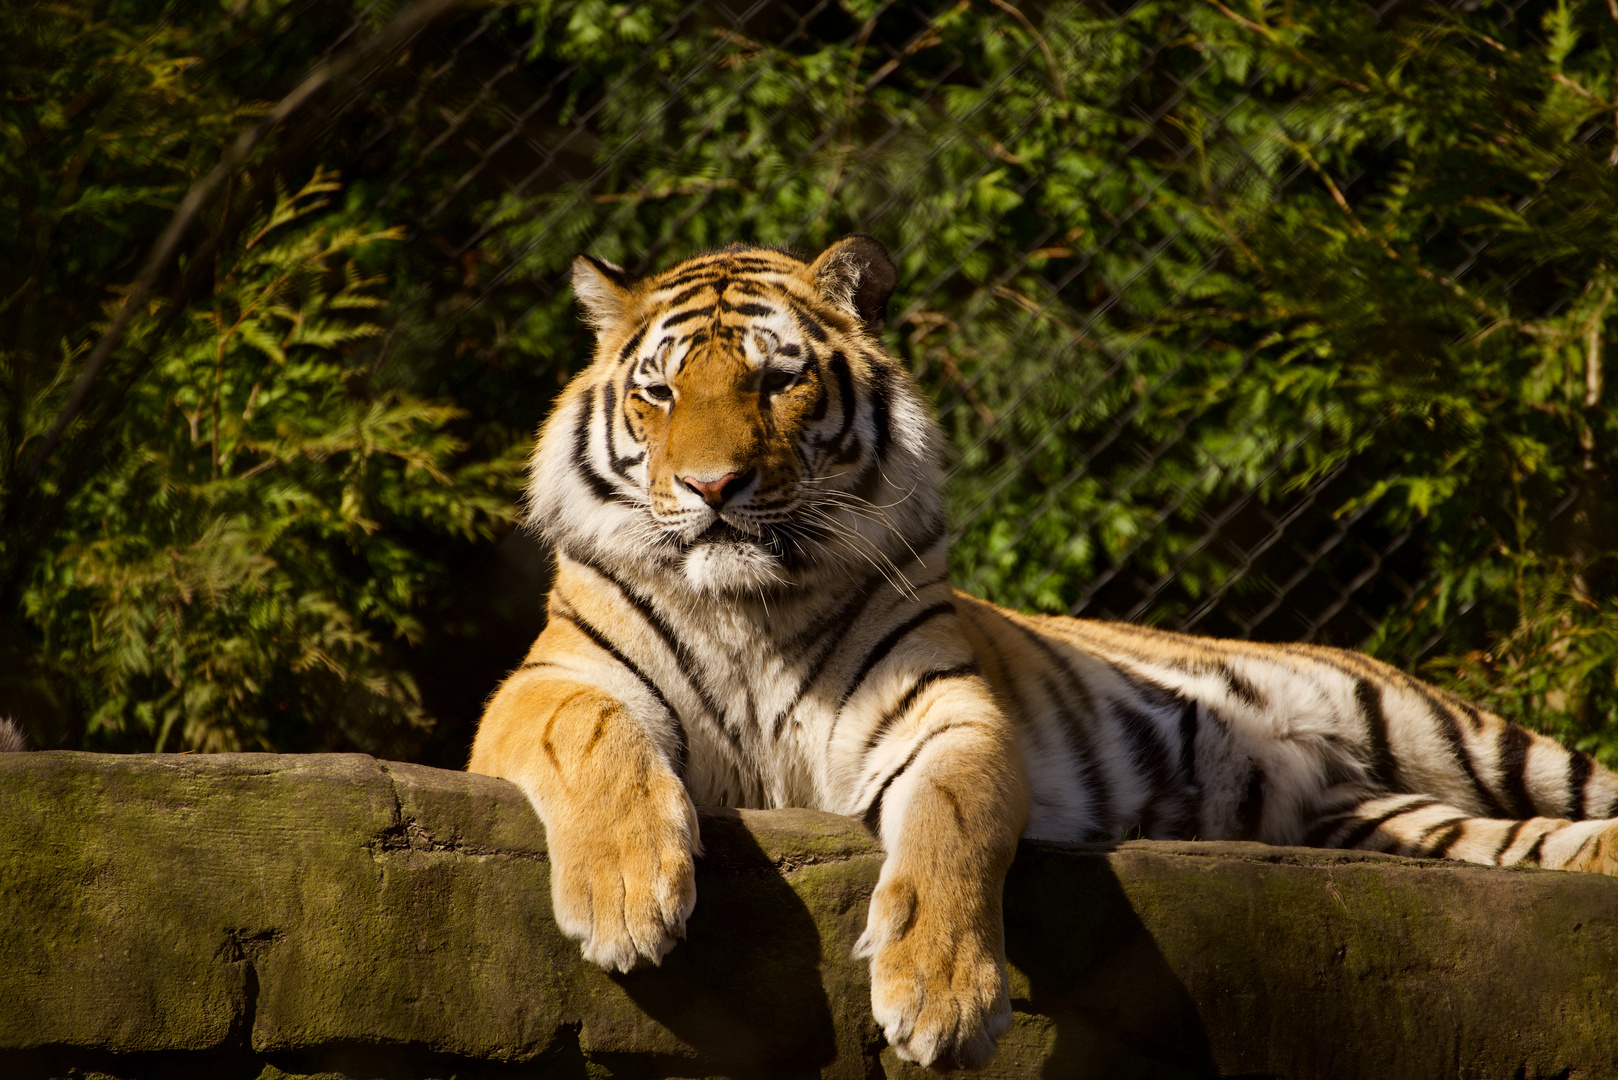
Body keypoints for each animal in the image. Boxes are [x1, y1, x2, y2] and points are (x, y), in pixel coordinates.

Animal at [472, 236, 1618, 1075]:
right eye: (660, 394)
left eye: (776, 383)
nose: (712, 489)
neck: (749, 602)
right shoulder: (548, 684)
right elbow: (595, 735)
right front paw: (627, 901)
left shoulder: (945, 711)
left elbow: (952, 822)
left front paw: (943, 999)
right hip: (1385, 822)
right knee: (1523, 846)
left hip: (1446, 728)